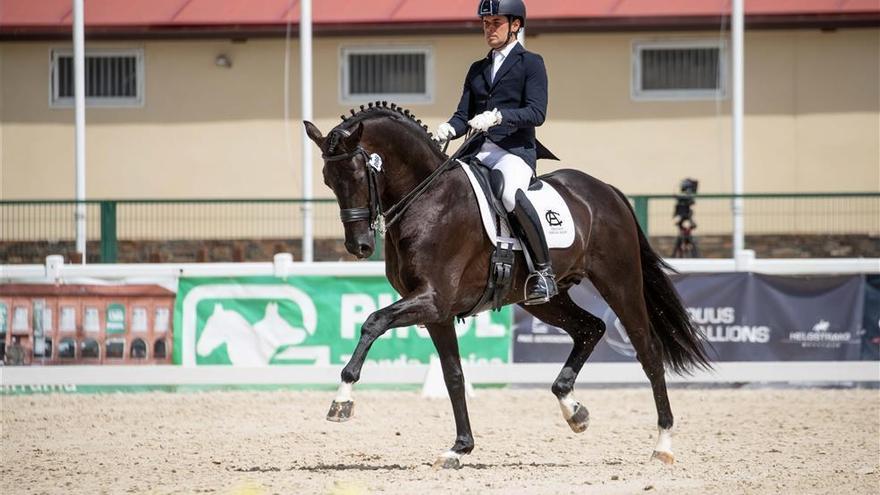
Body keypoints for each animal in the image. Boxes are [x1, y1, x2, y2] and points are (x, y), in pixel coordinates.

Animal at [302, 103, 708, 468]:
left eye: (359, 175)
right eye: (328, 180)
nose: (359, 247)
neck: (428, 198)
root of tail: (606, 190)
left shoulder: (432, 299)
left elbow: (373, 321)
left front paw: (342, 400)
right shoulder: (437, 312)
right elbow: (453, 375)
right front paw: (460, 448)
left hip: (619, 282)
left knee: (648, 351)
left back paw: (663, 445)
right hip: (543, 299)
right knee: (590, 328)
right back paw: (573, 409)